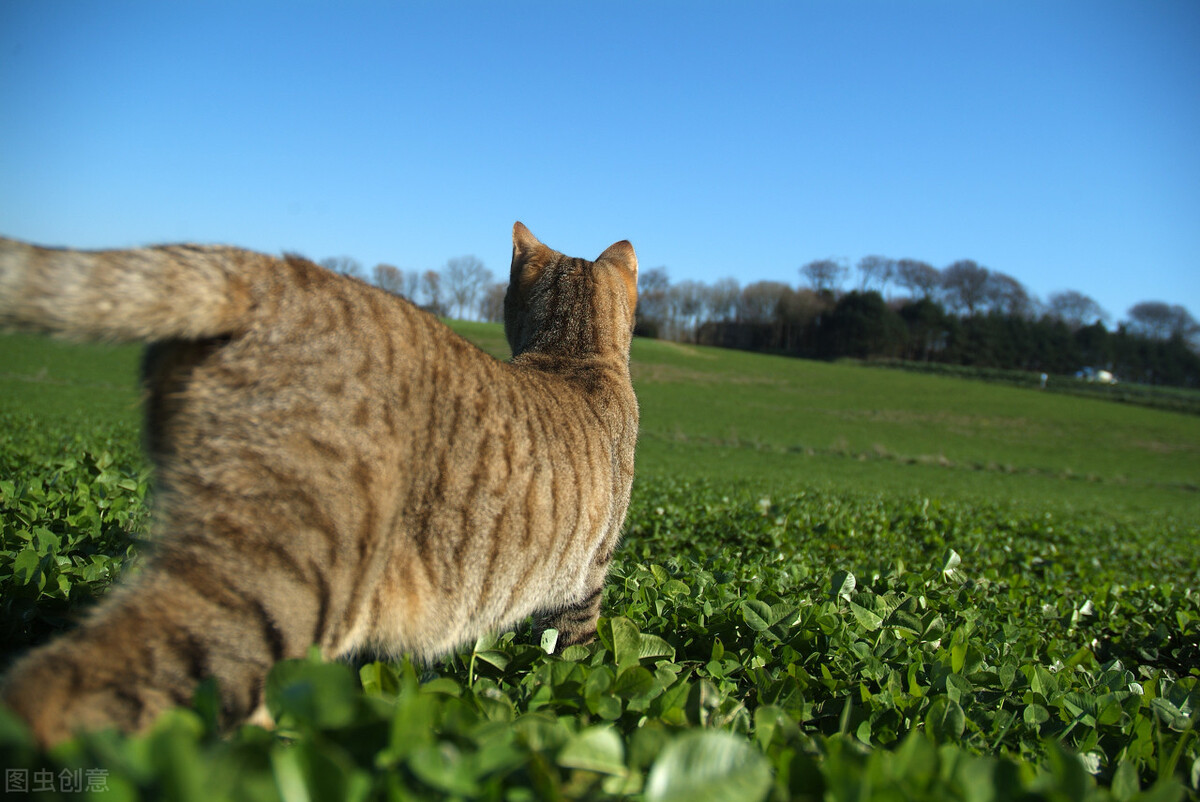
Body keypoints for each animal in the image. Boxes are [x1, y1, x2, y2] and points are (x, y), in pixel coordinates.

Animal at [0, 220, 638, 744]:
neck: (574, 351)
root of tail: (269, 270)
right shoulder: (589, 575)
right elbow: (576, 665)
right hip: (288, 579)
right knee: (64, 687)